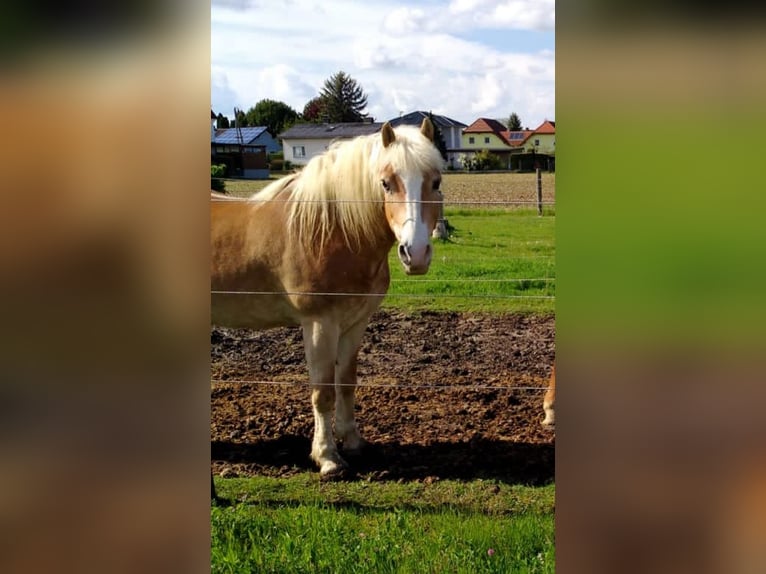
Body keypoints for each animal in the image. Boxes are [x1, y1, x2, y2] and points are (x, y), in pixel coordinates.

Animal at [213, 118, 448, 482]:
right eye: (385, 183)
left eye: (435, 181)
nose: (417, 254)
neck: (333, 230)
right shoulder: (319, 324)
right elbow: (322, 391)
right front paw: (327, 458)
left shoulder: (355, 324)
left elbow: (346, 383)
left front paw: (353, 441)